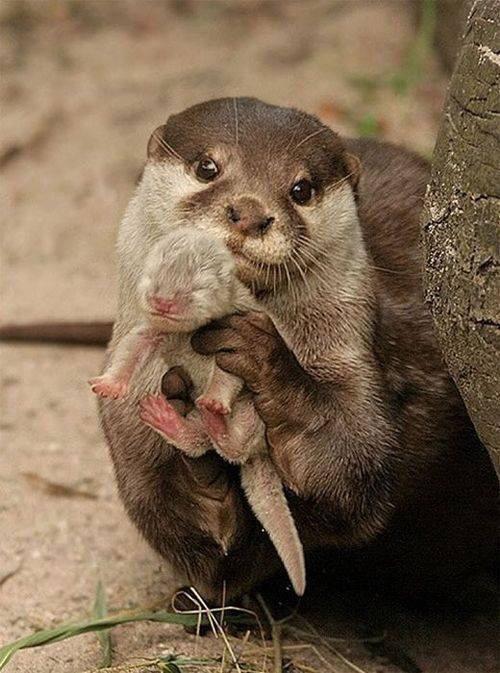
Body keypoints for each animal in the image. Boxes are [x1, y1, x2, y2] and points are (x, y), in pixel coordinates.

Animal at [2, 98, 496, 602]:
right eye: (207, 167)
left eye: (301, 189)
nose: (249, 211)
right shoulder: (127, 423)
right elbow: (184, 536)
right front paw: (197, 465)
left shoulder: (360, 360)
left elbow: (356, 464)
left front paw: (261, 357)